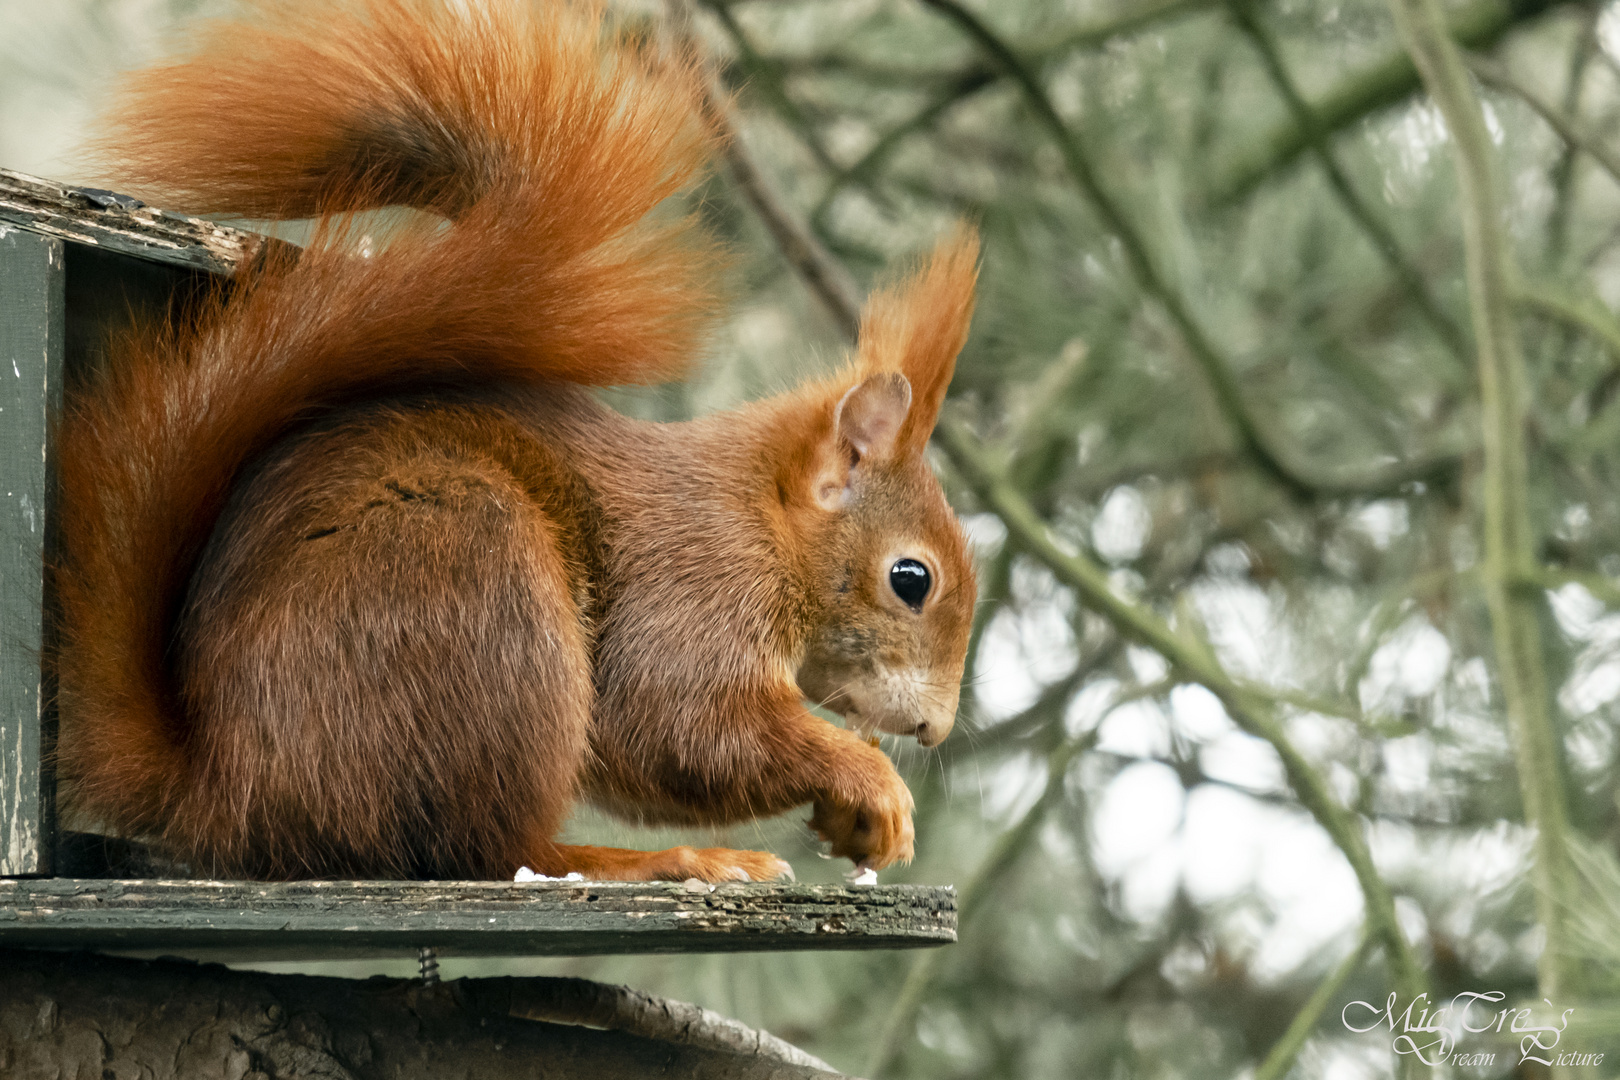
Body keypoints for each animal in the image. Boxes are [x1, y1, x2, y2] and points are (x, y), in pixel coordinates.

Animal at [53, 0, 972, 880]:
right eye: (911, 579)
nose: (934, 729)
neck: (761, 516)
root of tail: (225, 789)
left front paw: (854, 817)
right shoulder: (694, 584)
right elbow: (678, 727)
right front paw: (870, 781)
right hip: (479, 584)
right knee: (491, 849)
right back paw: (658, 862)